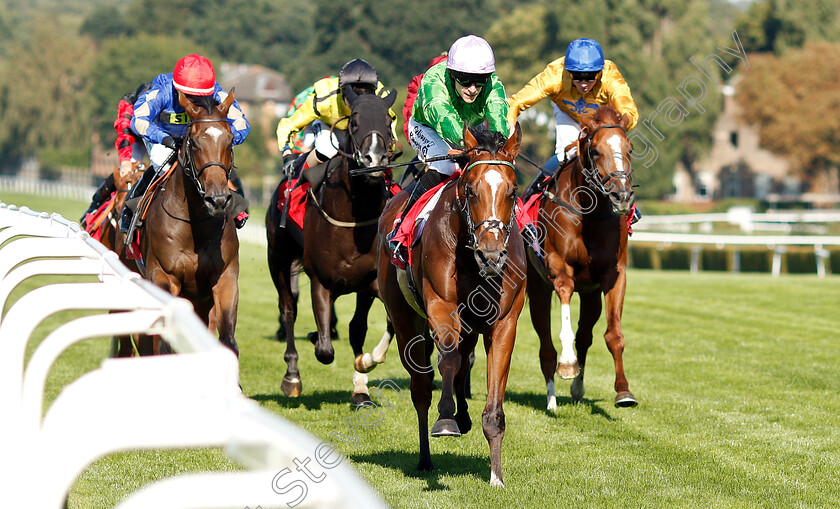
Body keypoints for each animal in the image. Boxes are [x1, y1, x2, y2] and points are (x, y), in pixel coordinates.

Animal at [133, 90, 241, 354]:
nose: (217, 200)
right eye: (194, 142)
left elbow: (228, 341)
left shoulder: (225, 277)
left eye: (230, 140)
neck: (195, 227)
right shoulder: (164, 277)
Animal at [270, 88, 400, 404]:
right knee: (288, 309)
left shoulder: (371, 283)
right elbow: (325, 350)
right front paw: (317, 338)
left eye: (388, 120)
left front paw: (362, 377)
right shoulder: (321, 282)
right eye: (354, 121)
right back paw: (292, 376)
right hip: (278, 259)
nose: (374, 158)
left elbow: (366, 328)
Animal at [378, 122, 524, 484]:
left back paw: (465, 417)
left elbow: (490, 388)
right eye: (470, 190)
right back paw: (426, 457)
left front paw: (496, 475)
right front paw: (446, 419)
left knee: (464, 361)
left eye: (513, 191)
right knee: (422, 386)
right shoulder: (440, 305)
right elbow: (448, 360)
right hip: (404, 316)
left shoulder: (505, 322)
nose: (491, 255)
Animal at [524, 105, 636, 410]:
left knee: (586, 335)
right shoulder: (559, 270)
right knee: (545, 346)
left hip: (590, 294)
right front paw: (567, 363)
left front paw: (624, 391)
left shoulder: (613, 274)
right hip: (536, 288)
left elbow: (613, 335)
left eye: (629, 148)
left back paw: (577, 388)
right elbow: (564, 322)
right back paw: (551, 398)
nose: (622, 196)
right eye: (595, 151)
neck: (590, 213)